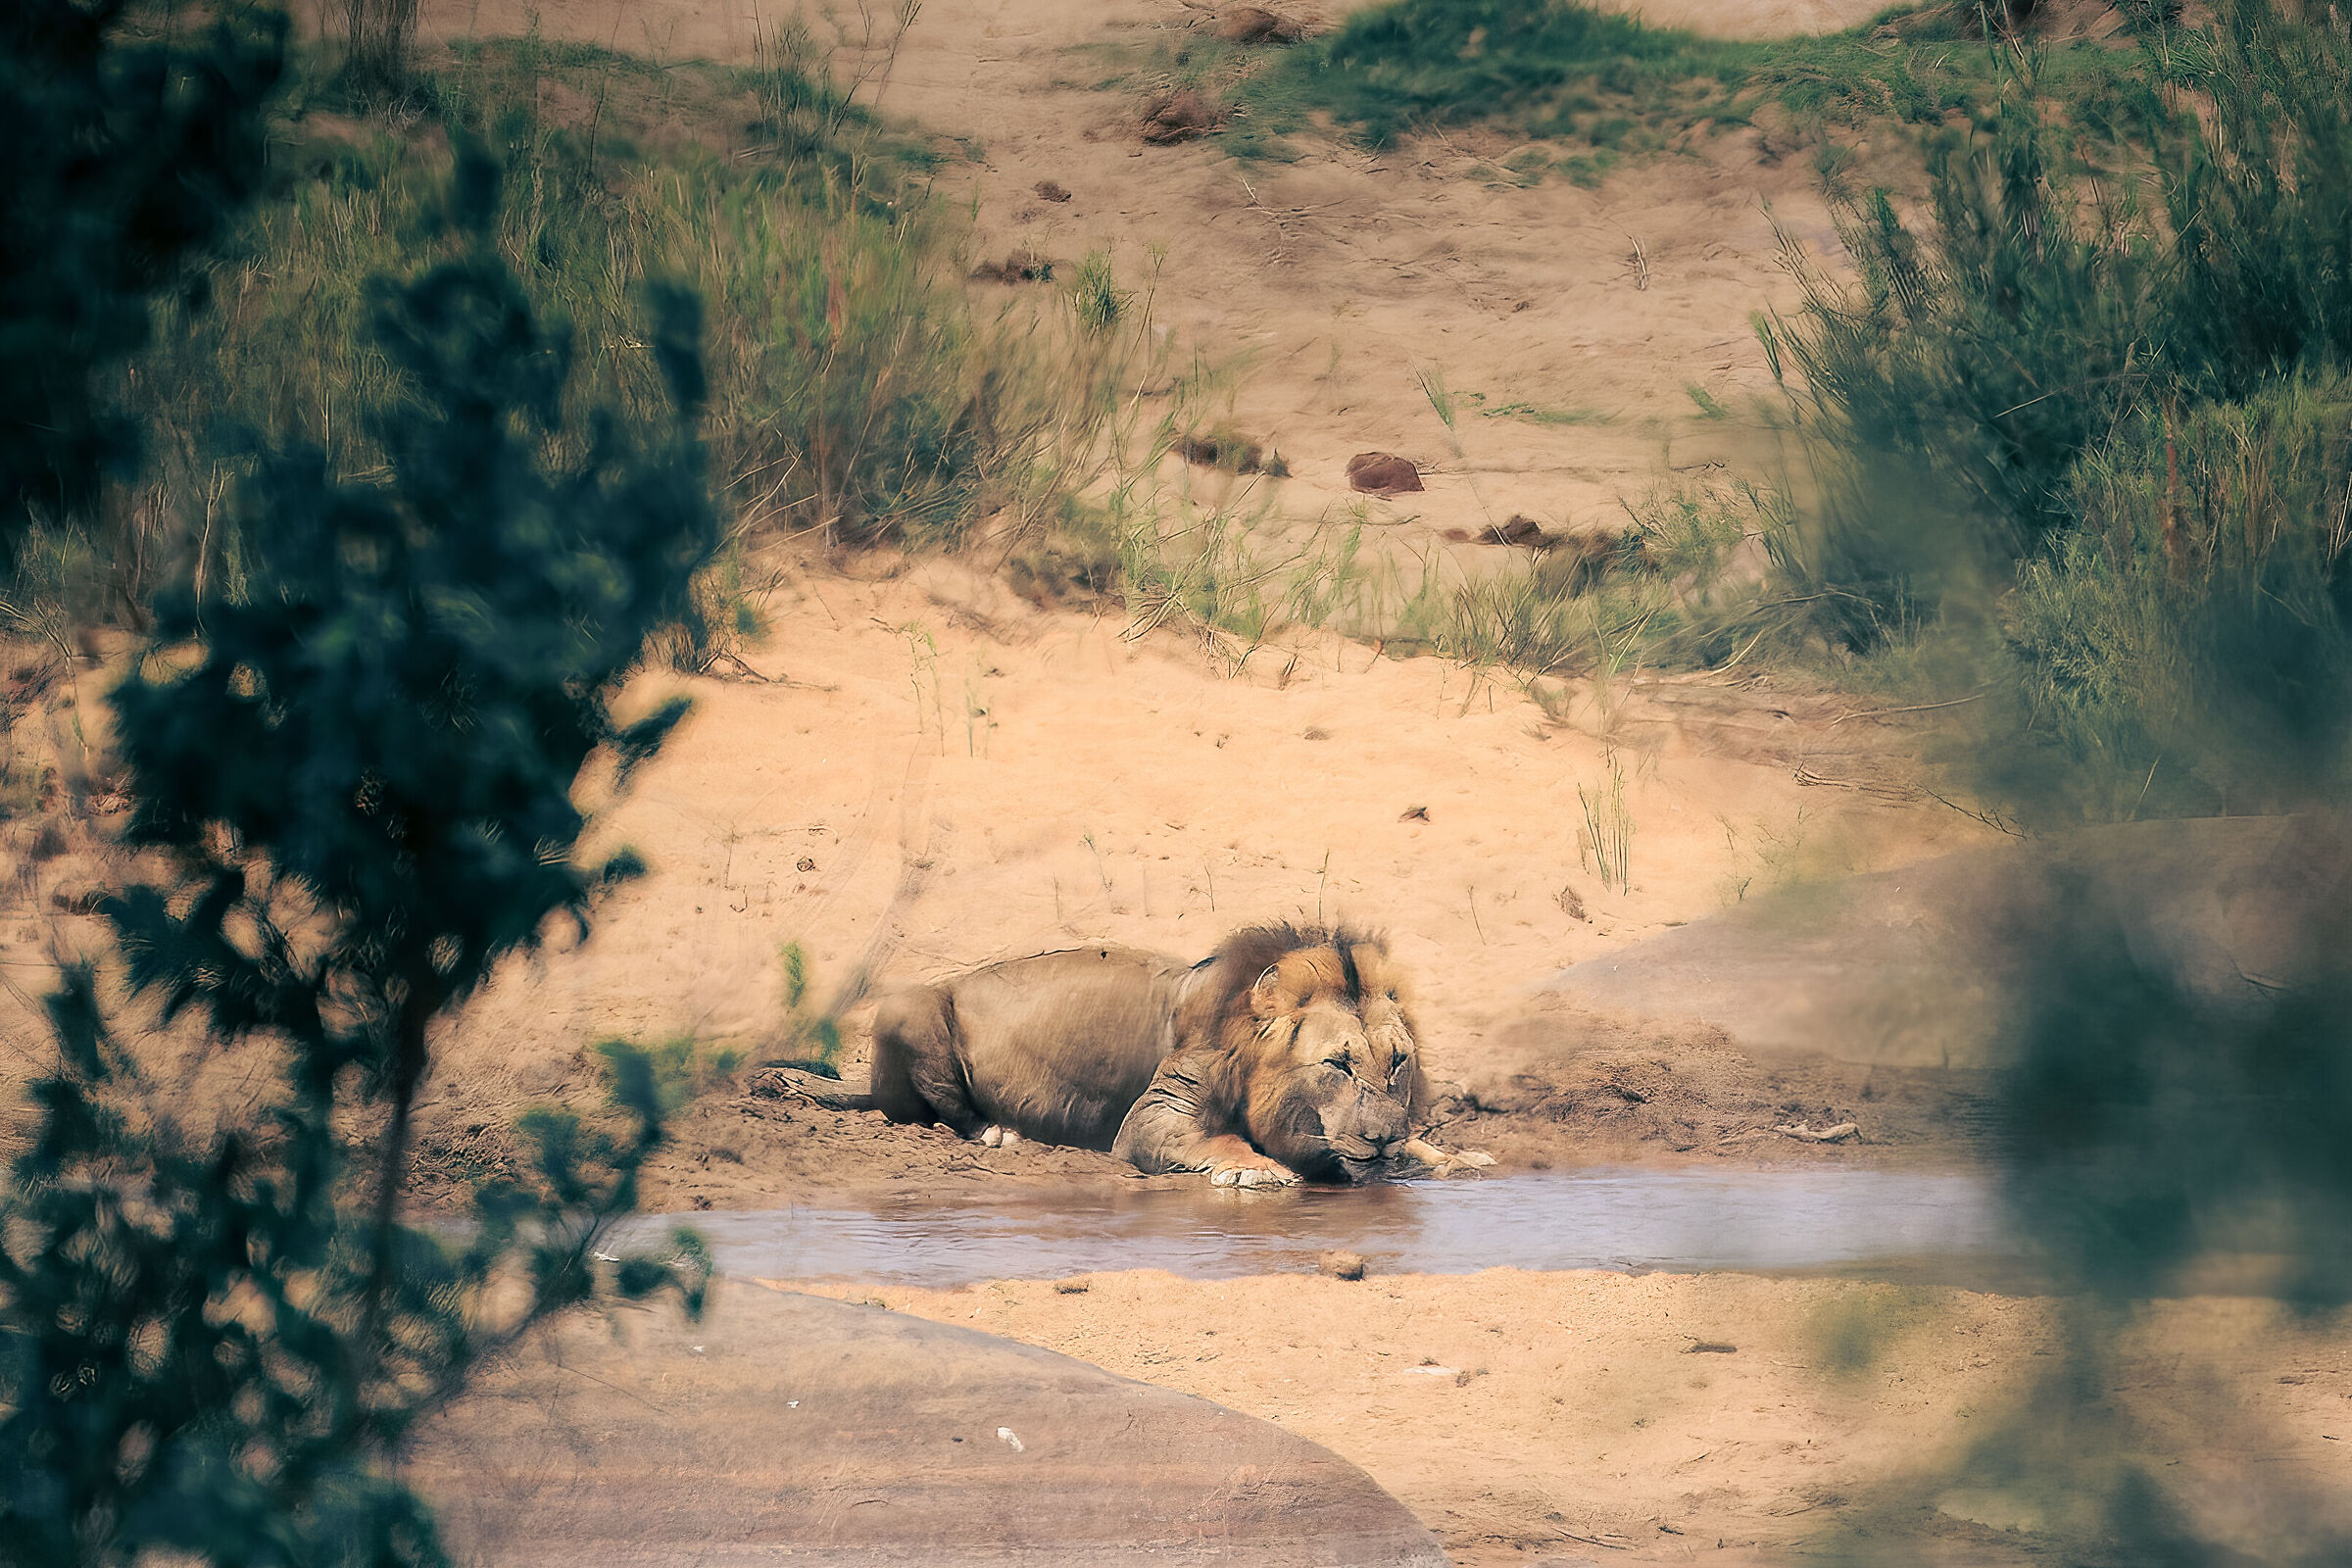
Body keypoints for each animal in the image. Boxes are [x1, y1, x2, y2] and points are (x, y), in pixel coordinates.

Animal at [832, 923, 1491, 1187]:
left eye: (1396, 1062)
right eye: (1338, 1064)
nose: (1382, 1139)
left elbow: (1424, 1144)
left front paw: (1454, 1155)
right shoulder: (1155, 1113)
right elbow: (1217, 1139)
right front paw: (1258, 1168)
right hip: (910, 1006)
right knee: (946, 1112)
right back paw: (999, 1133)